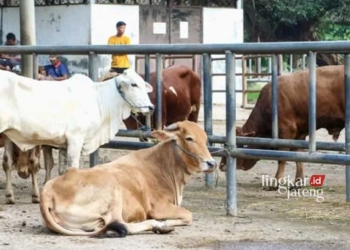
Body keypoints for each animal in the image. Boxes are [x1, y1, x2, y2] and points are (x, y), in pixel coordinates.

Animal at [0, 68, 153, 203]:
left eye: (143, 84)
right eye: (133, 84)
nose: (151, 107)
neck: (99, 99)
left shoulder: (63, 144)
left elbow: (62, 169)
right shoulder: (75, 138)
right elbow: (72, 167)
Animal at [39, 120, 217, 236]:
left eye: (205, 139)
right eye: (189, 138)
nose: (212, 163)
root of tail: (47, 192)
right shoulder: (158, 207)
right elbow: (188, 215)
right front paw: (164, 223)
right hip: (114, 193)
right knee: (123, 225)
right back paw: (157, 226)